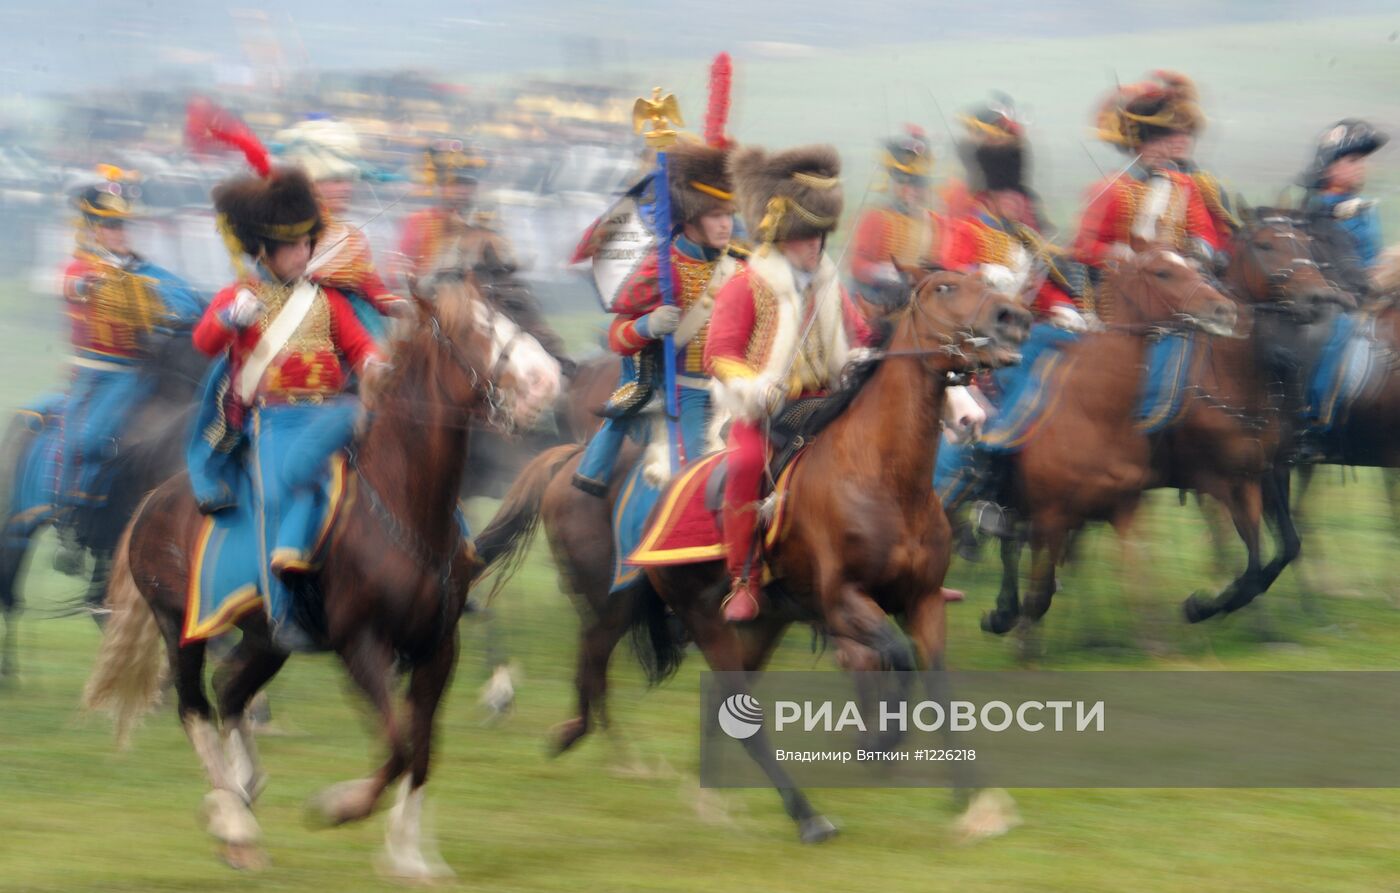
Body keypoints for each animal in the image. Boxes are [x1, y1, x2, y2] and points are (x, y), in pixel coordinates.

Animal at [80, 271, 557, 884]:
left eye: (507, 311)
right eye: (474, 328)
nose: (547, 380)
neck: (401, 504)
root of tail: (151, 503)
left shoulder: (437, 649)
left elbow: (423, 750)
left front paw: (409, 854)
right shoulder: (362, 646)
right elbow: (398, 745)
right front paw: (341, 807)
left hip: (267, 638)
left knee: (229, 690)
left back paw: (243, 794)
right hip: (179, 629)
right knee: (195, 708)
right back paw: (233, 822)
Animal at [476, 268, 1036, 845]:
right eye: (944, 288)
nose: (1013, 318)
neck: (882, 477)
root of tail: (569, 463)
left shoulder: (923, 600)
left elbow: (941, 690)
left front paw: (973, 802)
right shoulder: (842, 602)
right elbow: (897, 659)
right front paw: (880, 742)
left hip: (759, 622)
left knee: (710, 703)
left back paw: (706, 792)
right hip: (657, 610)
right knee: (607, 669)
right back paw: (799, 812)